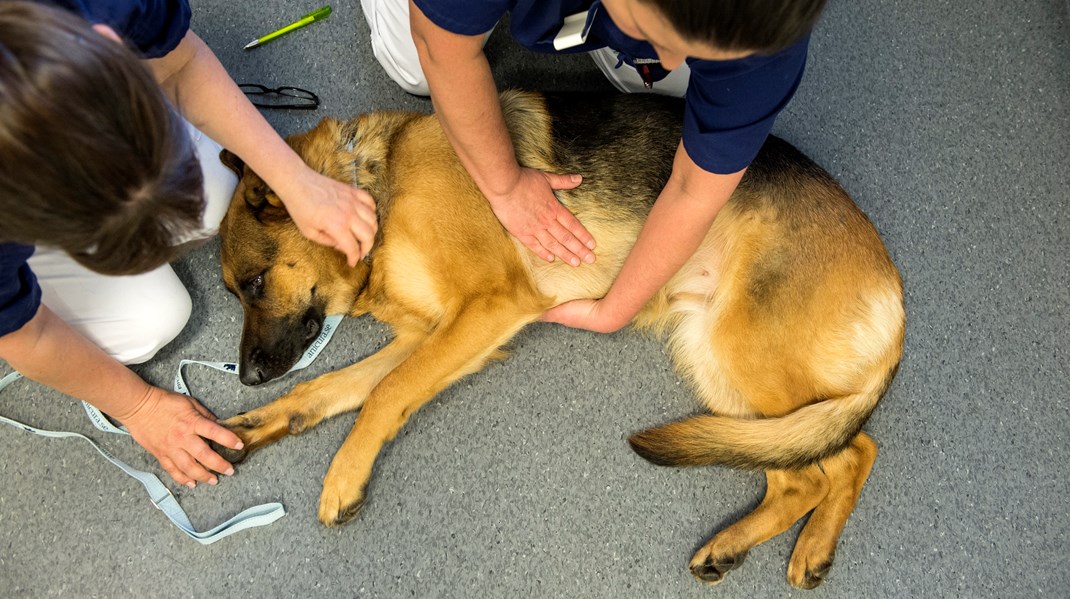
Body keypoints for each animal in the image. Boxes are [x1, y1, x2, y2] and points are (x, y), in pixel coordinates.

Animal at [215, 91, 903, 586]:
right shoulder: (432, 334)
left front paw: (343, 477)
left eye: (254, 282)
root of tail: (891, 286)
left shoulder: (485, 308)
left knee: (852, 450)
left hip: (744, 352)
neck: (377, 187)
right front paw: (259, 421)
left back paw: (809, 546)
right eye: (232, 291)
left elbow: (384, 396)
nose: (246, 376)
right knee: (801, 473)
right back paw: (731, 546)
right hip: (711, 357)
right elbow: (335, 388)